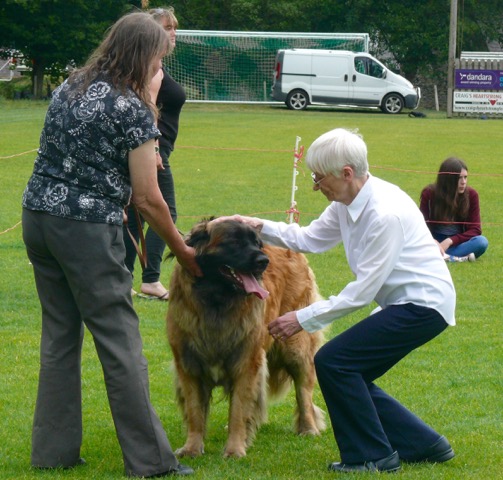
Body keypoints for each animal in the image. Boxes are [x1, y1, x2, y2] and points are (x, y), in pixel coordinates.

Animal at [166, 218, 326, 458]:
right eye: (234, 242)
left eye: (257, 244)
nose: (263, 261)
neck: (218, 301)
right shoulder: (188, 364)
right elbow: (195, 411)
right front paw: (192, 447)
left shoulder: (247, 362)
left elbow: (238, 410)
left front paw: (234, 449)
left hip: (294, 346)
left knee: (303, 391)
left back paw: (308, 428)